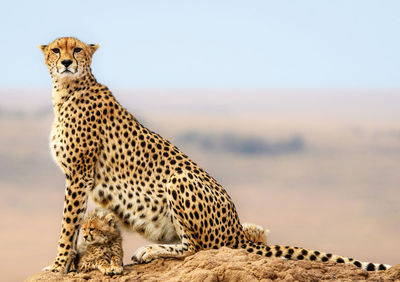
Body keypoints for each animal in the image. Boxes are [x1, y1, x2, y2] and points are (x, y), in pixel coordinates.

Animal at [39, 37, 390, 274]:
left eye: (77, 50)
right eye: (57, 50)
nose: (66, 62)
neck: (67, 90)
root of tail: (236, 228)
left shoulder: (79, 174)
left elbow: (67, 224)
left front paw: (57, 266)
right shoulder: (80, 177)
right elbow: (75, 224)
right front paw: (65, 263)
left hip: (180, 178)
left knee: (195, 247)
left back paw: (150, 250)